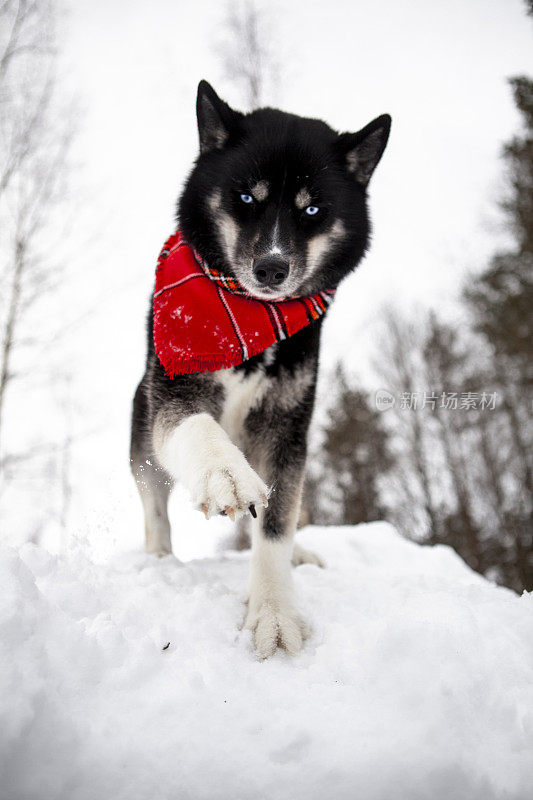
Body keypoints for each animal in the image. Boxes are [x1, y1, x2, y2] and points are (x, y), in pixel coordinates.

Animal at [131, 79, 388, 656]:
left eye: (312, 210)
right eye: (247, 197)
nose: (273, 267)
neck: (248, 321)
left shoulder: (285, 430)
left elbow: (274, 525)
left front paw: (274, 610)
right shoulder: (175, 393)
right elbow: (199, 433)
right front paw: (223, 473)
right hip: (140, 435)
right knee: (154, 506)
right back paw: (157, 559)